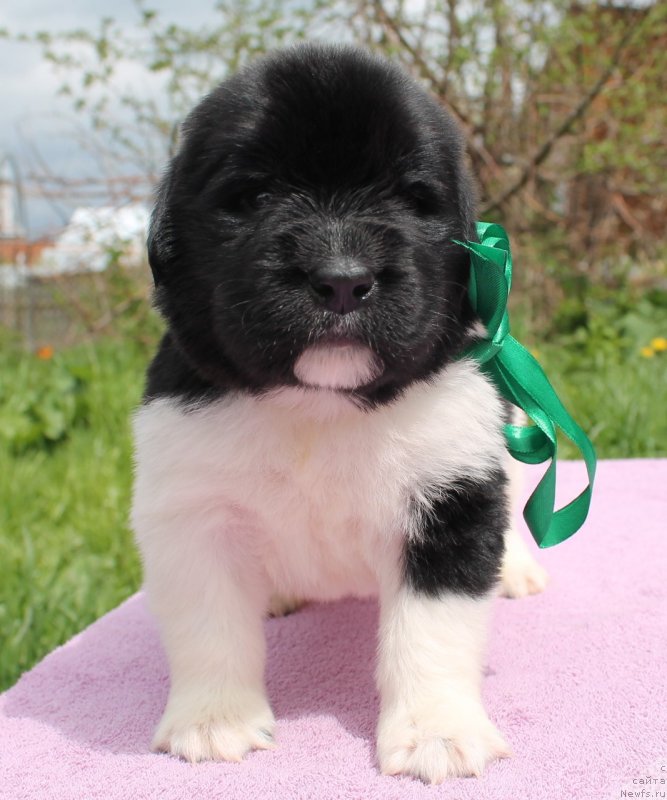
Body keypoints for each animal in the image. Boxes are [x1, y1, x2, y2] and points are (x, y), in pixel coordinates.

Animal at [133, 42, 552, 780]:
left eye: (412, 199)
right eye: (253, 197)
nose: (341, 278)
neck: (319, 408)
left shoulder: (451, 499)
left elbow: (433, 632)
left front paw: (437, 732)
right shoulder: (191, 514)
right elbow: (208, 628)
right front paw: (214, 721)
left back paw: (517, 569)